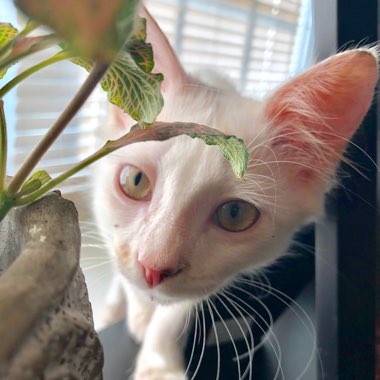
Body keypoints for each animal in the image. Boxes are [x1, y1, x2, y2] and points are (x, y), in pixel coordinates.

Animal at [93, 6, 378, 380]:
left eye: (235, 215)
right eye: (135, 181)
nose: (153, 268)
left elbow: (178, 308)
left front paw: (158, 363)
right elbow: (122, 266)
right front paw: (138, 310)